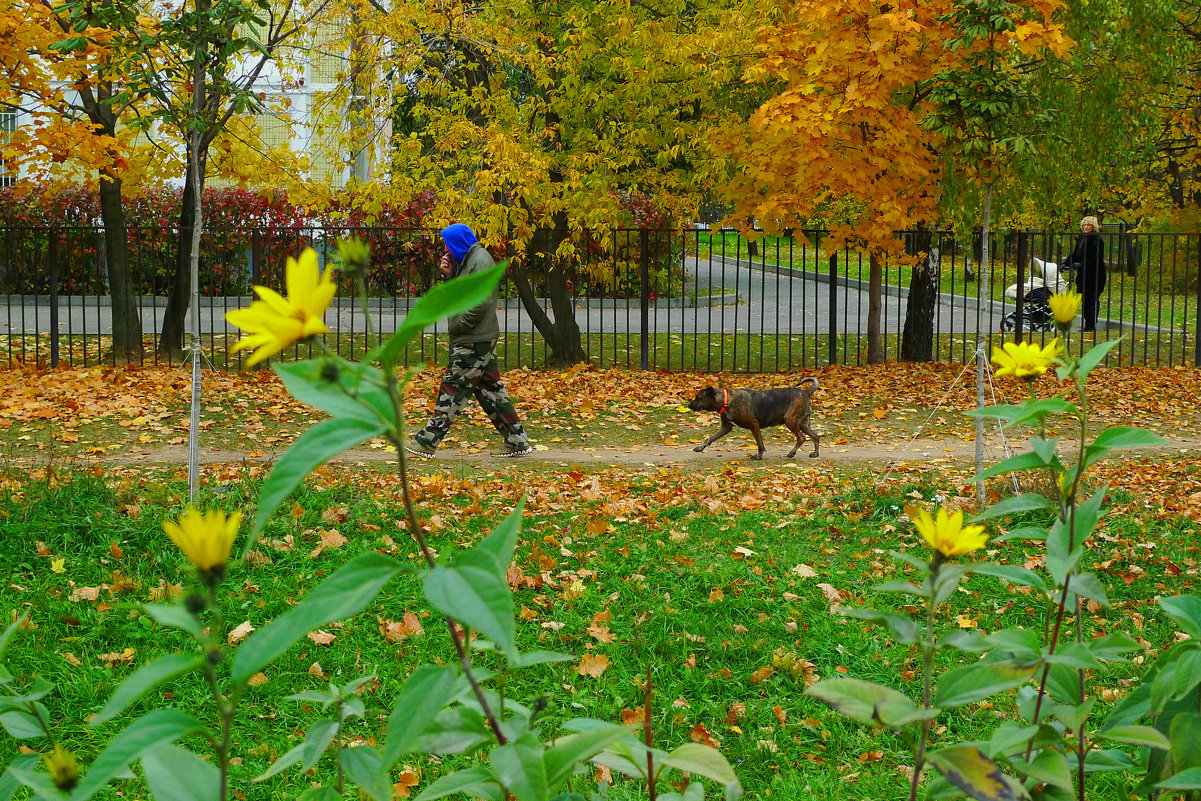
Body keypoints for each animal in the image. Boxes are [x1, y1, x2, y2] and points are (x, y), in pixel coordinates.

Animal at [691, 379, 821, 461]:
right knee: (815, 437)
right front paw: (700, 447)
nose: (688, 404)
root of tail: (806, 392)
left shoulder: (754, 425)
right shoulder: (726, 427)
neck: (726, 400)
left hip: (790, 421)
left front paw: (758, 457)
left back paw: (792, 453)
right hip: (803, 424)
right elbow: (710, 438)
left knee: (802, 438)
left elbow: (760, 444)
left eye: (698, 397)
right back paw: (815, 454)